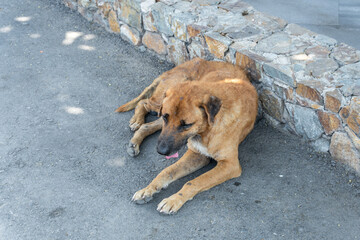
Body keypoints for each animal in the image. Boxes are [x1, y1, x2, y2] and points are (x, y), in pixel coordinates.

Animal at [116, 58, 258, 214]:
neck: (207, 130)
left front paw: (173, 200)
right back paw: (137, 121)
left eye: (186, 125)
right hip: (160, 104)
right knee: (143, 102)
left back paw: (135, 138)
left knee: (146, 121)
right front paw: (147, 189)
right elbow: (167, 171)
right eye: (166, 117)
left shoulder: (229, 164)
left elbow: (194, 181)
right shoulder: (196, 153)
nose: (161, 151)